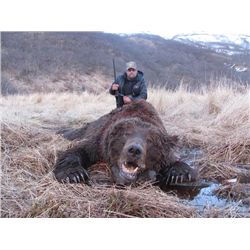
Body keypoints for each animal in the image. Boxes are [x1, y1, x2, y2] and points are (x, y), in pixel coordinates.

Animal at [54, 99, 197, 186]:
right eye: (126, 134)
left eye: (150, 141)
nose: (134, 150)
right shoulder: (99, 141)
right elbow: (78, 150)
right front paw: (74, 174)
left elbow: (174, 160)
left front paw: (179, 174)